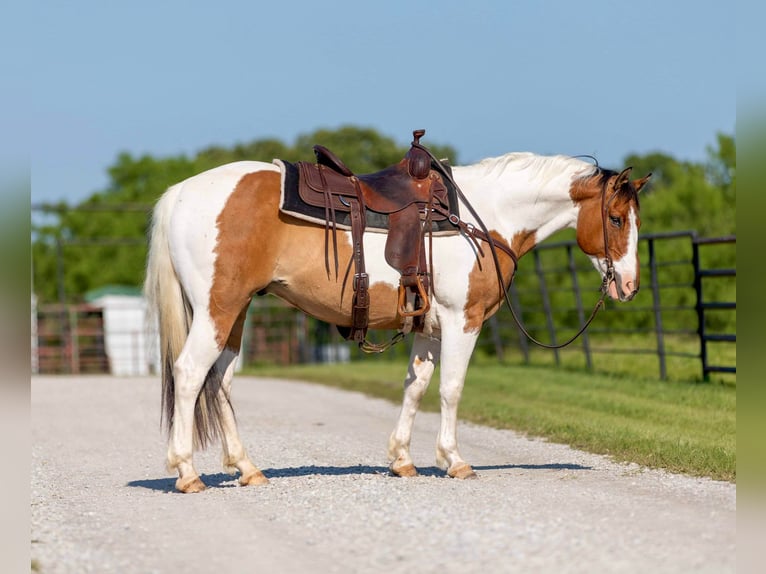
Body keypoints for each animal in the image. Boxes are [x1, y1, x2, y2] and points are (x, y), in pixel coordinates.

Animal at [142, 150, 648, 496]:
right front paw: (454, 460)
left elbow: (416, 388)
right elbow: (451, 390)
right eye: (616, 219)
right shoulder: (462, 321)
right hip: (219, 308)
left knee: (220, 380)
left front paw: (402, 459)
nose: (628, 286)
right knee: (190, 373)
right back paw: (186, 472)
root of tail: (181, 192)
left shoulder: (429, 328)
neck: (485, 217)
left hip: (235, 312)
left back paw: (247, 468)